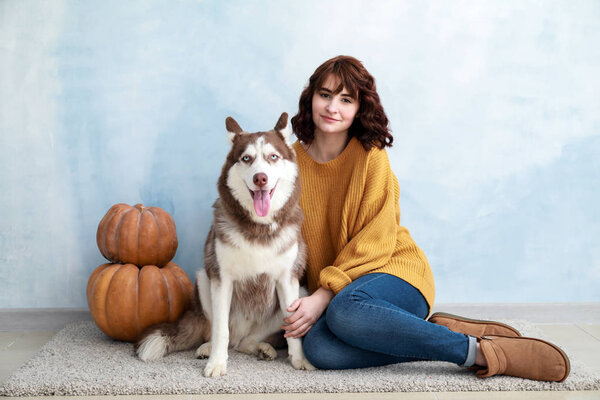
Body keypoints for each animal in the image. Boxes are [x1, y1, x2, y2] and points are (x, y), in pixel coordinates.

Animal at [135, 111, 314, 376]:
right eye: (246, 158)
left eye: (273, 157)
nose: (260, 178)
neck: (258, 228)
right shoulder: (221, 279)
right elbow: (221, 330)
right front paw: (217, 363)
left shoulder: (288, 280)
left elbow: (294, 331)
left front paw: (300, 359)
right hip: (203, 278)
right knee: (220, 333)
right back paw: (208, 348)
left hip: (298, 292)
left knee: (244, 343)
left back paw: (262, 348)